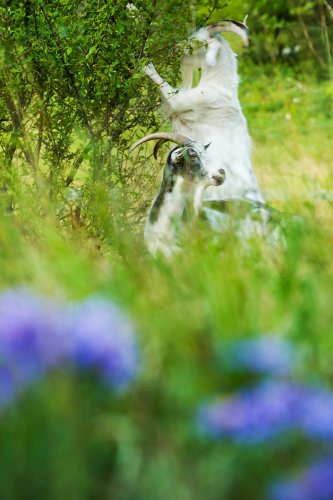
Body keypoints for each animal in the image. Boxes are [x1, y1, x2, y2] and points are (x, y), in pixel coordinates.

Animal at [144, 18, 264, 204]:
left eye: (196, 42)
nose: (174, 49)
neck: (219, 86)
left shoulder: (180, 102)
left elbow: (163, 85)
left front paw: (146, 65)